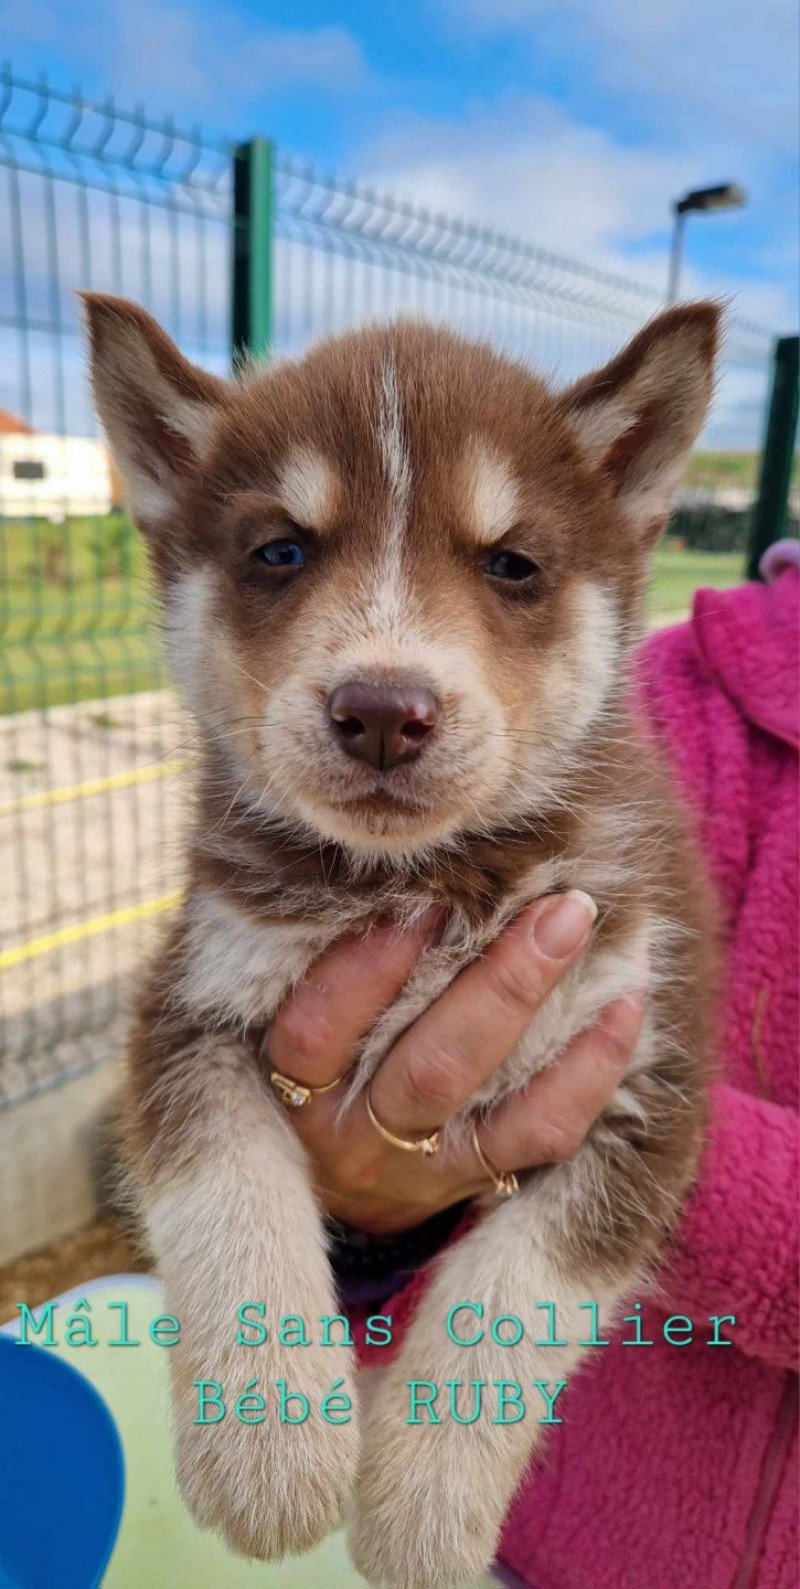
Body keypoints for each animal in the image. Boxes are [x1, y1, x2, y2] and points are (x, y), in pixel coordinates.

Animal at [83, 292, 718, 1582]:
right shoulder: (192, 1003)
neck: (422, 882)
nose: (382, 709)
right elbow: (232, 1198)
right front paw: (270, 1441)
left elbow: (514, 1288)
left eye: (511, 562)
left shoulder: (639, 1071)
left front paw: (422, 1505)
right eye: (280, 549)